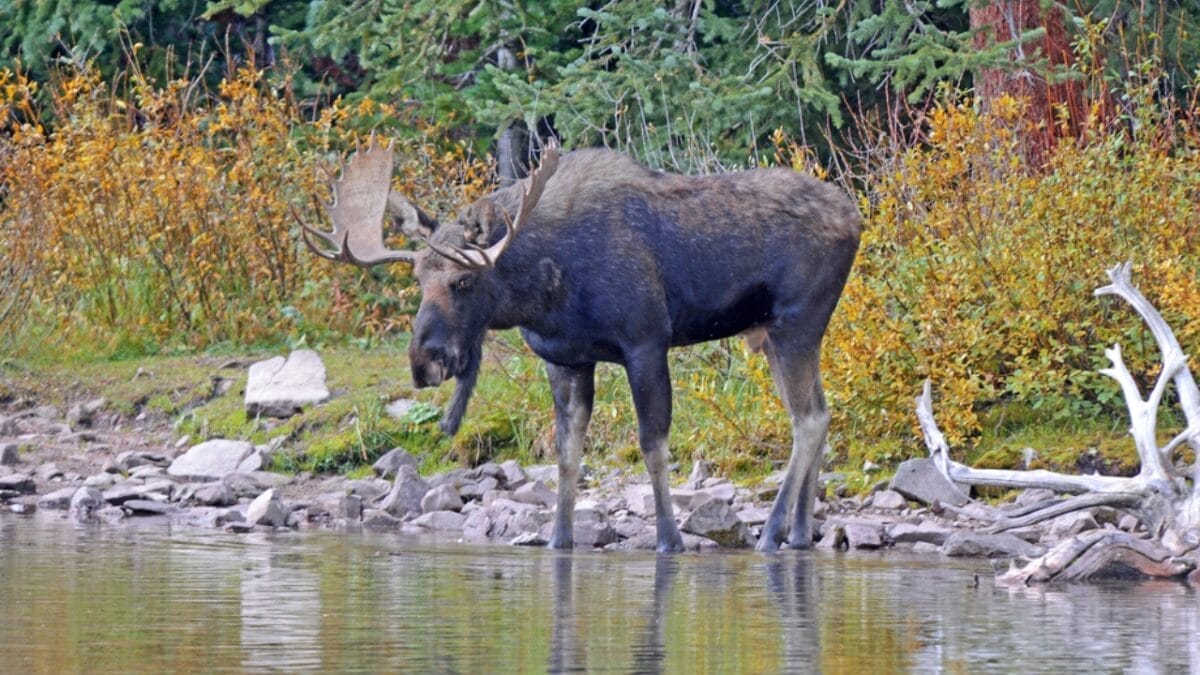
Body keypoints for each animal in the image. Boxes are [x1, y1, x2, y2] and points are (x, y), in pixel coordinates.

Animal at [299, 136, 860, 552]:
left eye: (463, 281)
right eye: (418, 279)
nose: (424, 363)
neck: (543, 293)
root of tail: (856, 217)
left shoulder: (645, 341)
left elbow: (652, 445)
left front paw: (669, 539)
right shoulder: (565, 359)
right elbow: (567, 454)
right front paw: (558, 539)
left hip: (796, 321)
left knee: (808, 419)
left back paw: (771, 533)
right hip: (777, 334)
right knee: (821, 411)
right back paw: (800, 534)